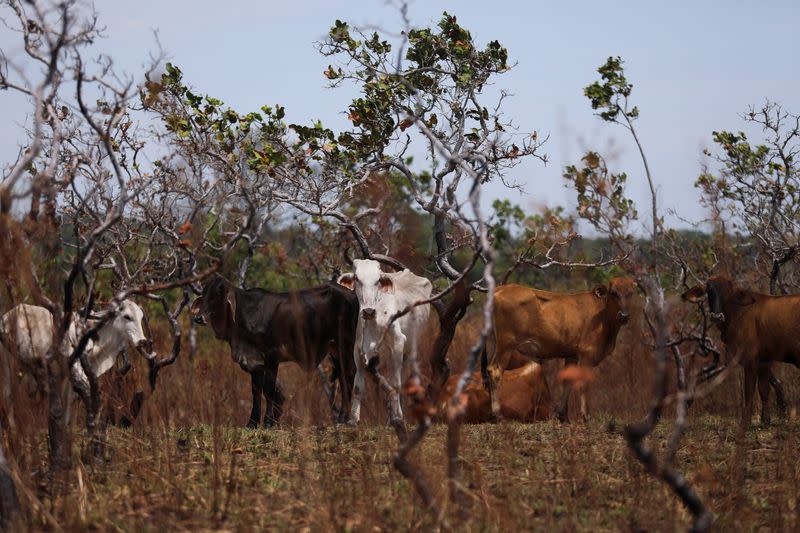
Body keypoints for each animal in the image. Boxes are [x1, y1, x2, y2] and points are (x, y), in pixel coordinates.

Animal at [192, 274, 358, 428]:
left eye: (218, 293)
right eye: (204, 292)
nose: (198, 318)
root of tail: (351, 293)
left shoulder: (272, 356)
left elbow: (269, 389)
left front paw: (268, 422)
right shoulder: (255, 363)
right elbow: (256, 391)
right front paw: (252, 422)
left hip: (345, 343)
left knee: (349, 372)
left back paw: (344, 418)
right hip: (335, 349)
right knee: (343, 375)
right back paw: (342, 417)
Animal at [338, 258, 432, 424]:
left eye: (377, 281)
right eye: (357, 279)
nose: (368, 311)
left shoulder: (398, 343)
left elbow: (395, 384)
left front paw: (399, 416)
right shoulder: (358, 350)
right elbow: (358, 386)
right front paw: (353, 419)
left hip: (410, 350)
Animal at [482, 276, 636, 422]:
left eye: (631, 293)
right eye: (613, 293)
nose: (624, 315)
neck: (603, 318)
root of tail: (500, 289)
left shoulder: (572, 355)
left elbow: (568, 381)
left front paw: (563, 416)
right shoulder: (587, 354)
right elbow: (584, 383)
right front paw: (585, 416)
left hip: (497, 344)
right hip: (506, 345)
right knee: (495, 371)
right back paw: (498, 414)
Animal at [680, 276, 800, 426]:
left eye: (729, 293)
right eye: (709, 291)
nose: (717, 316)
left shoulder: (750, 359)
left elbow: (749, 390)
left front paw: (745, 422)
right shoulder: (764, 360)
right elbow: (763, 389)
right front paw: (765, 420)